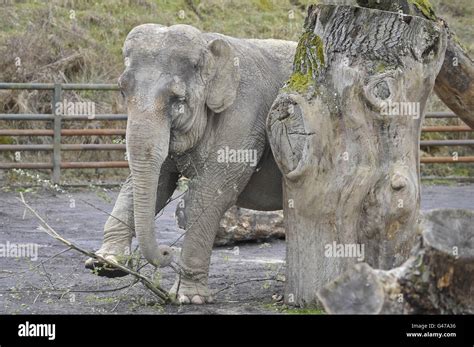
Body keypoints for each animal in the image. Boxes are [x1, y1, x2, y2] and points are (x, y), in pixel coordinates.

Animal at [83, 23, 294, 304]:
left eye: (177, 99)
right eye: (122, 91)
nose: (166, 252)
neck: (208, 43)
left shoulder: (246, 115)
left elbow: (210, 194)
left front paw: (188, 298)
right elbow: (155, 184)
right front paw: (106, 264)